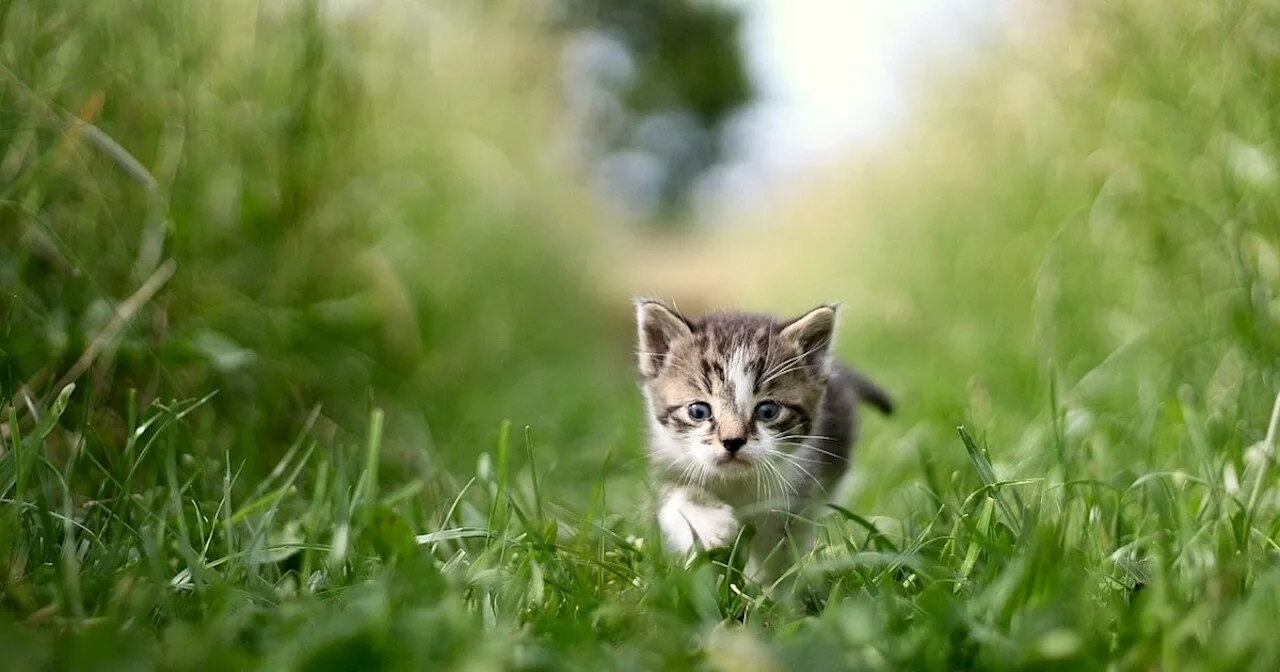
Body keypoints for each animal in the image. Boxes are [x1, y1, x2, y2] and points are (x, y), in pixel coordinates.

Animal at [634, 298, 896, 581]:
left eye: (767, 411)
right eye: (698, 411)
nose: (732, 441)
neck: (736, 483)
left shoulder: (797, 492)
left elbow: (779, 548)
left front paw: (770, 587)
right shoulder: (668, 463)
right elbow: (676, 501)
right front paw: (710, 527)